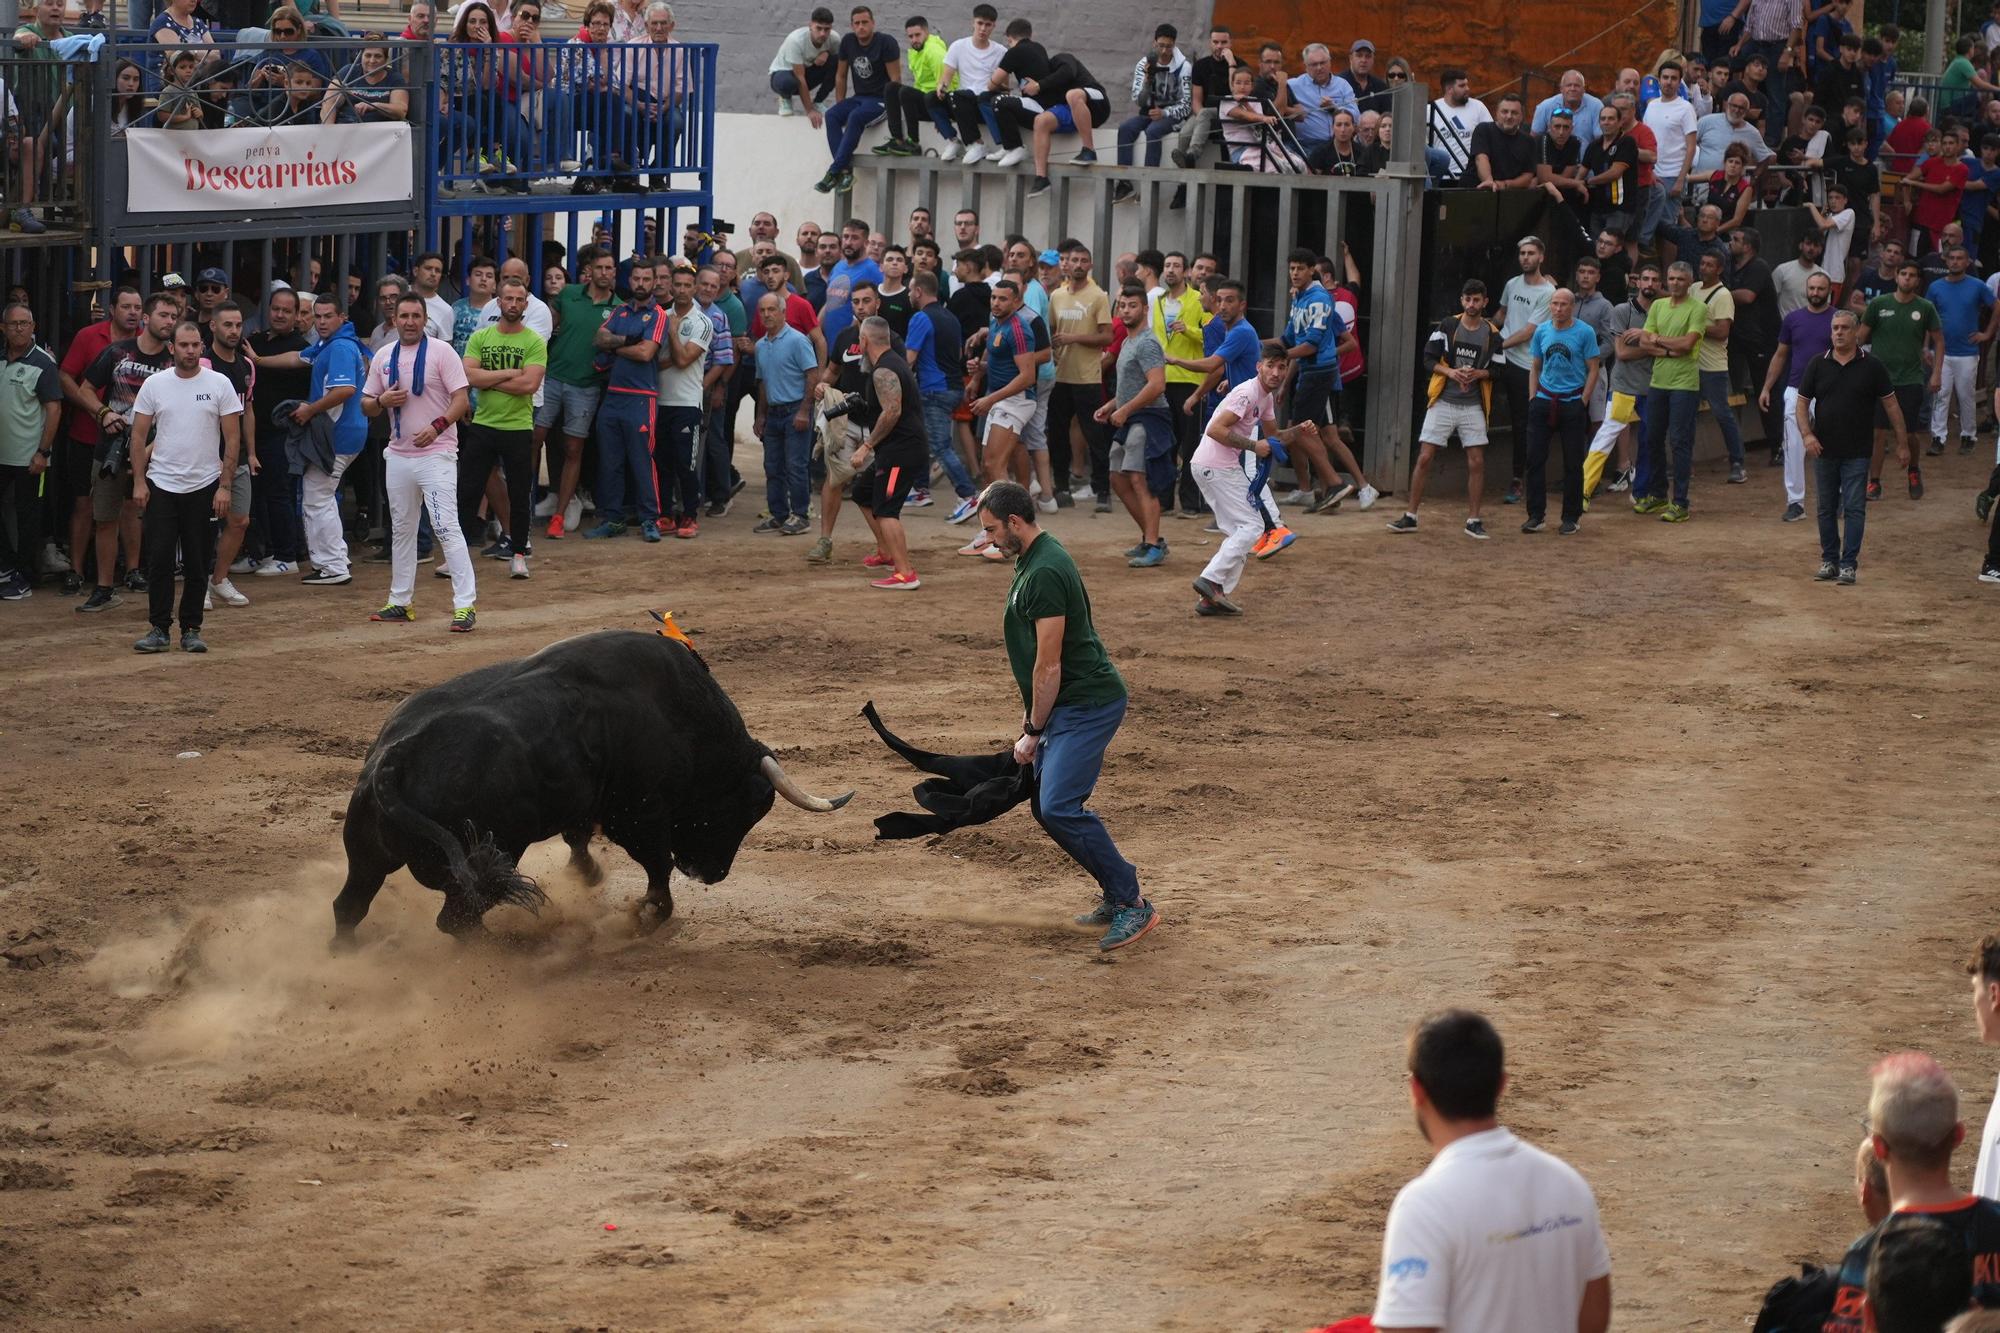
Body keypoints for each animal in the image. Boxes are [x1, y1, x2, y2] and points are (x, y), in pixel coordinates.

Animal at [326, 624, 852, 944]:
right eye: (747, 808)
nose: (712, 874)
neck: (683, 719)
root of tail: (394, 759)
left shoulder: (586, 802)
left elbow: (579, 838)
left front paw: (590, 874)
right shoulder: (638, 816)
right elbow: (657, 868)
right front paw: (648, 916)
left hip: (368, 854)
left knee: (350, 907)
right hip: (490, 861)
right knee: (456, 921)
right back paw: (510, 946)